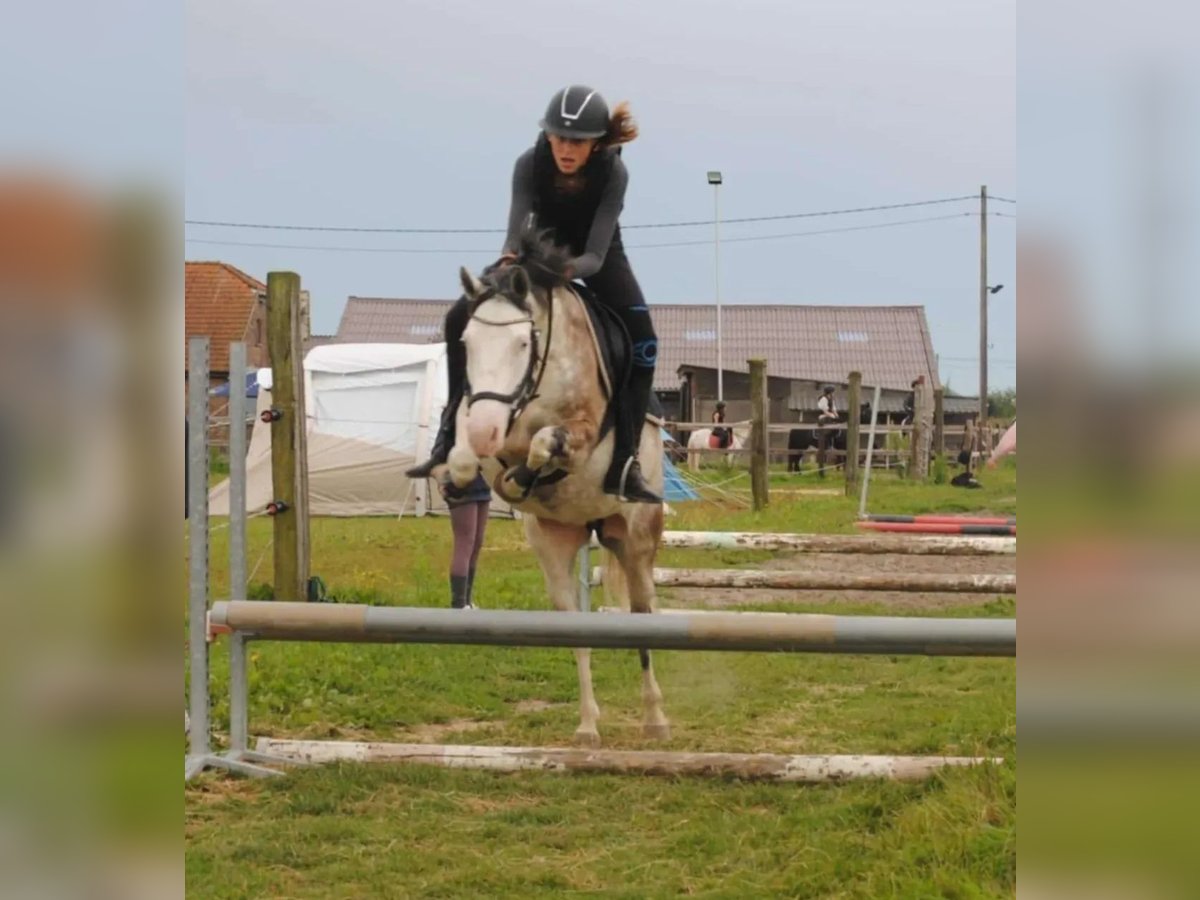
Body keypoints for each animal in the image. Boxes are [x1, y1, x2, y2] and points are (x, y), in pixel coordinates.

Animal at [444, 232, 672, 748]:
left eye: (522, 342)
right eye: (465, 343)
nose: (487, 430)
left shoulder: (580, 436)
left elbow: (547, 445)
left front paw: (529, 472)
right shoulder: (483, 421)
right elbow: (467, 454)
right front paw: (478, 475)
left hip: (637, 537)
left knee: (644, 614)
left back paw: (655, 717)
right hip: (556, 543)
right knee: (575, 628)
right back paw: (587, 725)